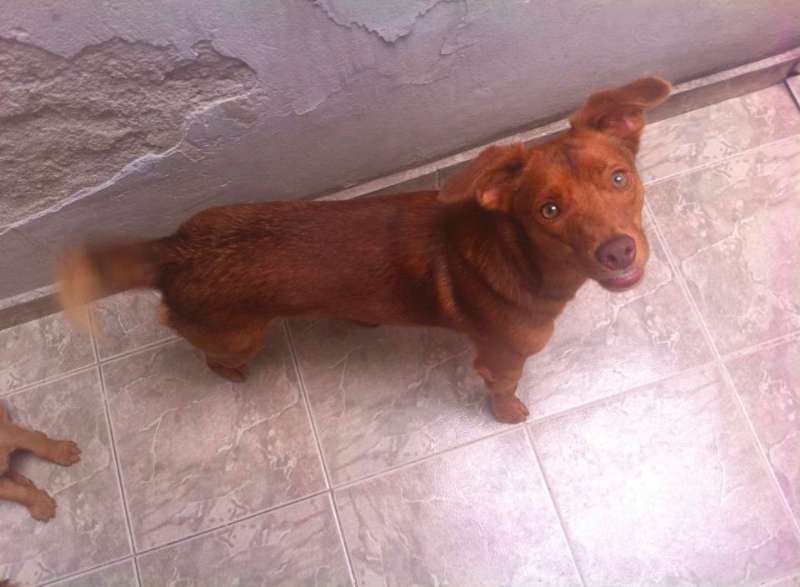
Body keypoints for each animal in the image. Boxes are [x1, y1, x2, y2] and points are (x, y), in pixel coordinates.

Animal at [59, 76, 671, 423]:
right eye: (548, 210)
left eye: (619, 178)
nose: (619, 252)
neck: (520, 256)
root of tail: (172, 249)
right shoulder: (499, 359)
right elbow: (504, 390)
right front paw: (509, 413)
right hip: (239, 336)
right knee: (215, 358)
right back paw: (234, 376)